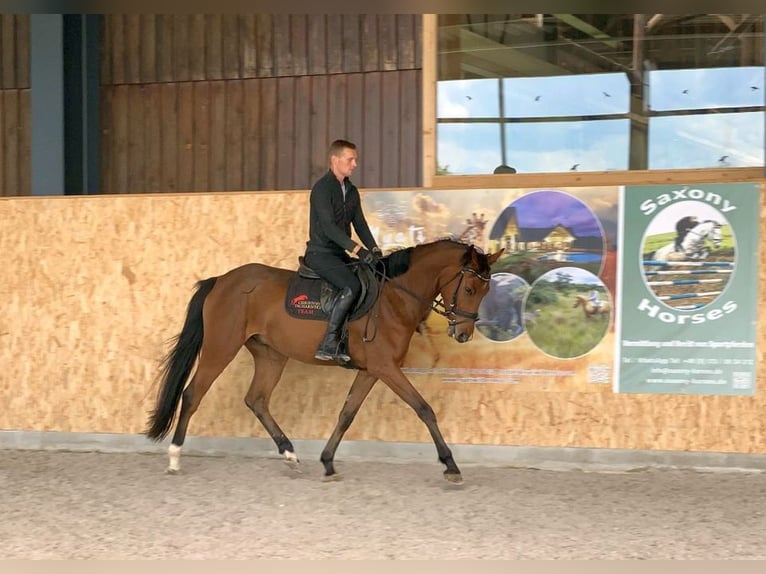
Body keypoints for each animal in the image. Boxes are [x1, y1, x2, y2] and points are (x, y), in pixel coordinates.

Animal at [146, 241, 504, 484]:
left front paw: (328, 462)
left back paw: (290, 454)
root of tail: (221, 280)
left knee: (256, 399)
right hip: (221, 347)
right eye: (469, 288)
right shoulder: (386, 369)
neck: (394, 298)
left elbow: (346, 414)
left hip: (270, 355)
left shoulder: (372, 371)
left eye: (485, 291)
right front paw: (450, 465)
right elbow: (424, 408)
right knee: (193, 394)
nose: (463, 335)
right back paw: (175, 458)